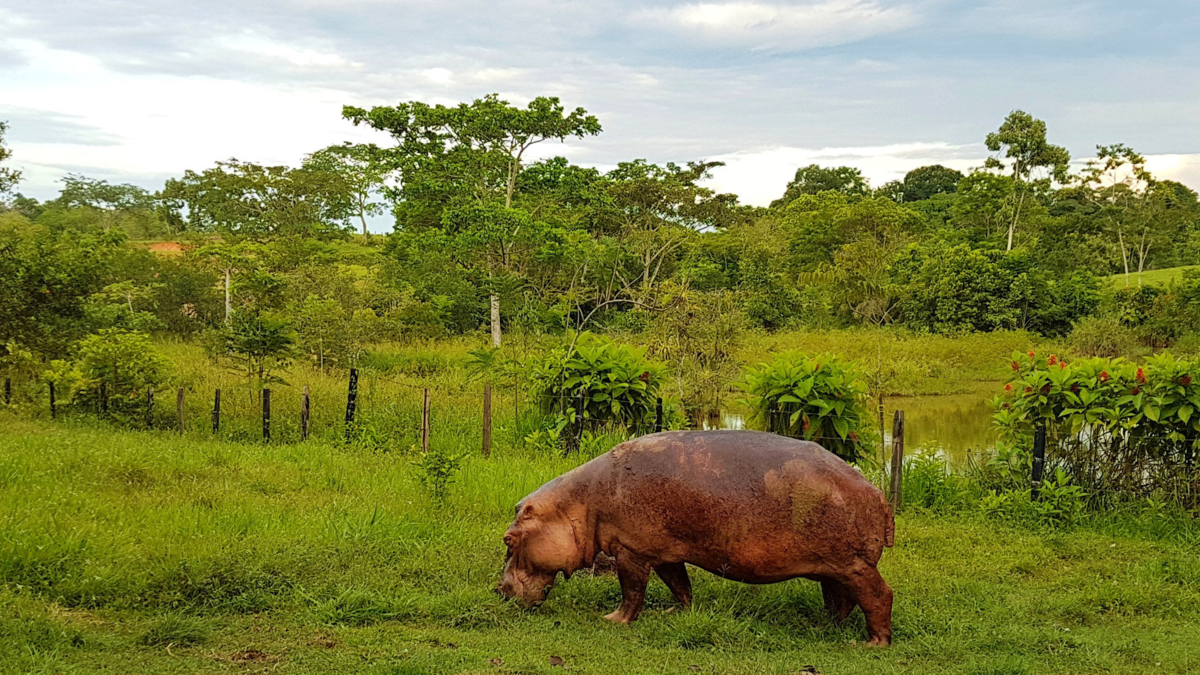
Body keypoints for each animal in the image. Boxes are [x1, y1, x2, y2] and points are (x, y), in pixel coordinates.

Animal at [497, 430, 896, 645]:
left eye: (508, 540)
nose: (499, 590)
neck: (579, 502)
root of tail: (879, 494)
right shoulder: (665, 552)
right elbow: (680, 585)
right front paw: (675, 612)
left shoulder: (631, 551)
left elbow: (632, 592)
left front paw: (613, 620)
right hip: (833, 567)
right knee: (839, 600)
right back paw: (821, 626)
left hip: (854, 565)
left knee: (879, 596)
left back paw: (870, 644)